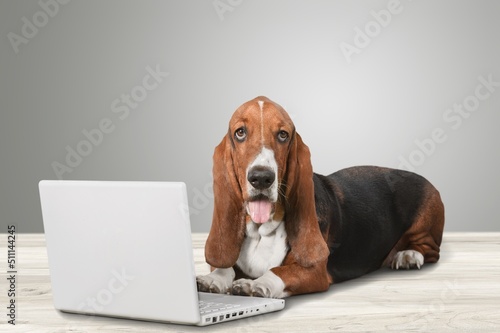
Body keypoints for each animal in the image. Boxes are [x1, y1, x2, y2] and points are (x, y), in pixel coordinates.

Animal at [195, 95, 446, 296]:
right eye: (240, 133)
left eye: (283, 135)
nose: (261, 178)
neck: (262, 232)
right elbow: (224, 267)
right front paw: (213, 279)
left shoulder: (314, 272)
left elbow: (278, 271)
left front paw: (255, 284)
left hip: (425, 223)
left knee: (431, 249)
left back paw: (408, 256)